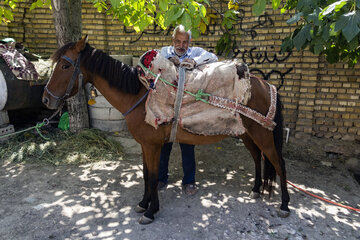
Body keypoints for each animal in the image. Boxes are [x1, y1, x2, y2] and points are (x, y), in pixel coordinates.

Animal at [42, 36, 290, 224]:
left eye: (65, 65)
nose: (46, 99)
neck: (139, 95)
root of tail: (266, 85)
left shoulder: (152, 146)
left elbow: (152, 177)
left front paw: (151, 211)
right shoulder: (145, 145)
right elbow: (145, 175)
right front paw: (143, 204)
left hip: (262, 134)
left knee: (278, 163)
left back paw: (285, 205)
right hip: (246, 133)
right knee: (257, 158)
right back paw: (256, 189)